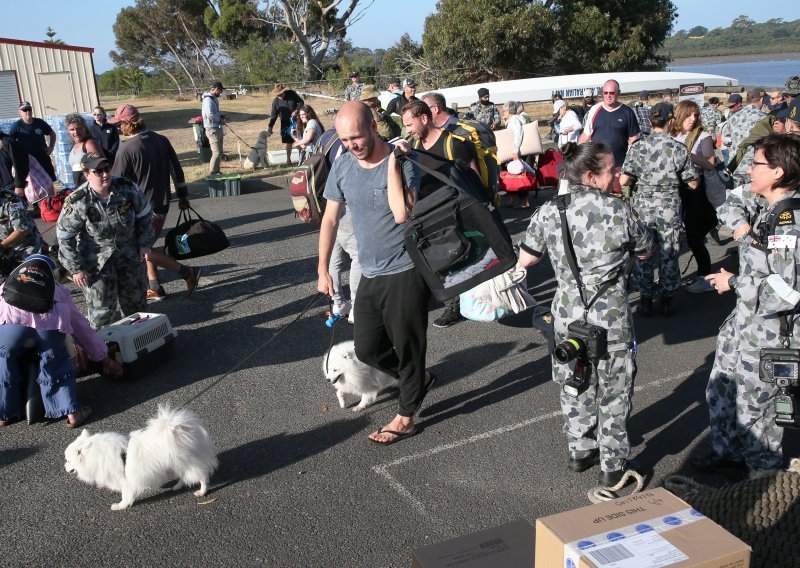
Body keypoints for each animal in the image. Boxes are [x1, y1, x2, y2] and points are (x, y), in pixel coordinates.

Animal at [64, 404, 217, 510]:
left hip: (188, 463)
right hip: (177, 464)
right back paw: (177, 486)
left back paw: (201, 492)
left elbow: (125, 496)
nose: (64, 467)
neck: (97, 454)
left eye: (68, 460)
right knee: (184, 476)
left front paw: (120, 506)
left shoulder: (125, 481)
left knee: (202, 476)